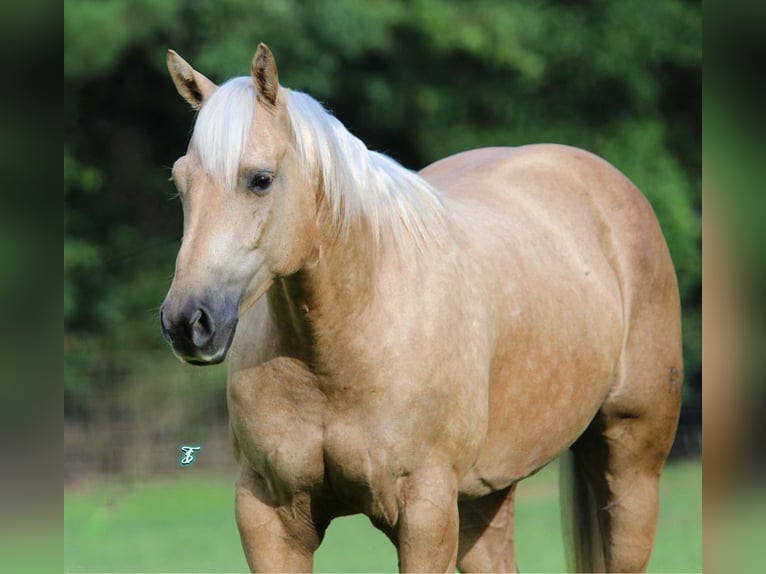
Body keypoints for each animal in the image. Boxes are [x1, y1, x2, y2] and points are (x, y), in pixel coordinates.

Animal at [160, 42, 684, 572]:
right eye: (181, 183)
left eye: (260, 179)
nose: (187, 322)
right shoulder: (269, 519)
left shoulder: (425, 515)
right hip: (485, 493)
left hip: (632, 469)